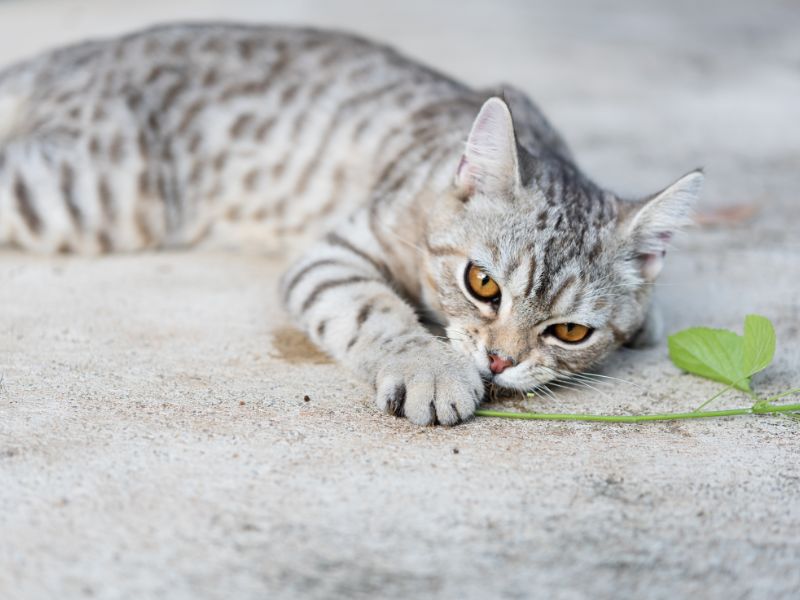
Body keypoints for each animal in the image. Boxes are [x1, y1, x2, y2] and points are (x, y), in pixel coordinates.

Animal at [0, 24, 700, 426]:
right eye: (482, 283)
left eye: (571, 331)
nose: (500, 361)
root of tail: (81, 52)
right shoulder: (335, 252)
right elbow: (374, 310)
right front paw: (431, 369)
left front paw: (648, 317)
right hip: (97, 193)